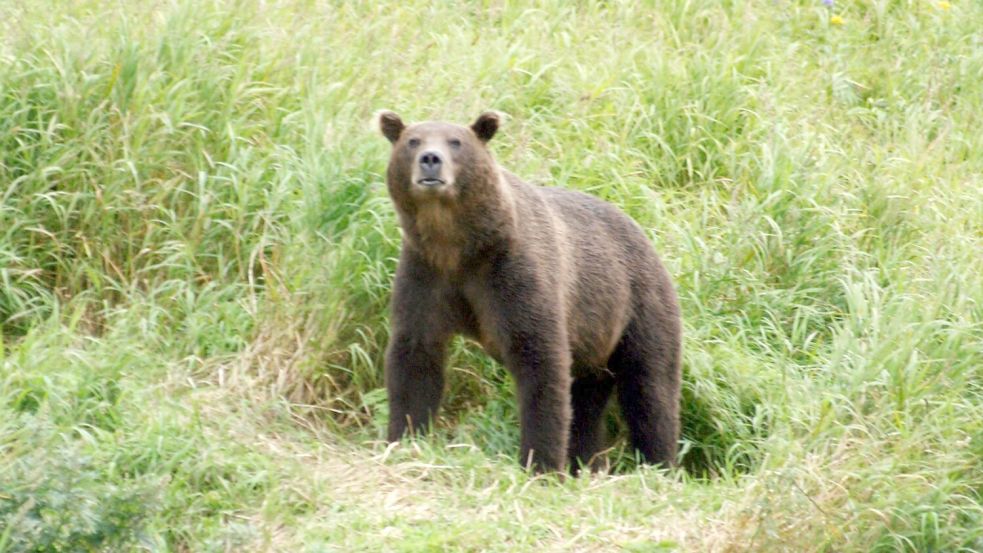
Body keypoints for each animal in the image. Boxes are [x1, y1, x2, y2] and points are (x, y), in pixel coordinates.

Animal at [376, 110, 682, 473]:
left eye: (456, 142)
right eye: (413, 141)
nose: (430, 160)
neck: (458, 246)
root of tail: (647, 237)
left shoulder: (513, 273)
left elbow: (540, 362)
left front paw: (541, 463)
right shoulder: (426, 275)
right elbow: (416, 357)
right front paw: (403, 438)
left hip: (638, 306)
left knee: (650, 390)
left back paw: (659, 463)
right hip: (595, 341)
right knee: (587, 400)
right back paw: (584, 460)